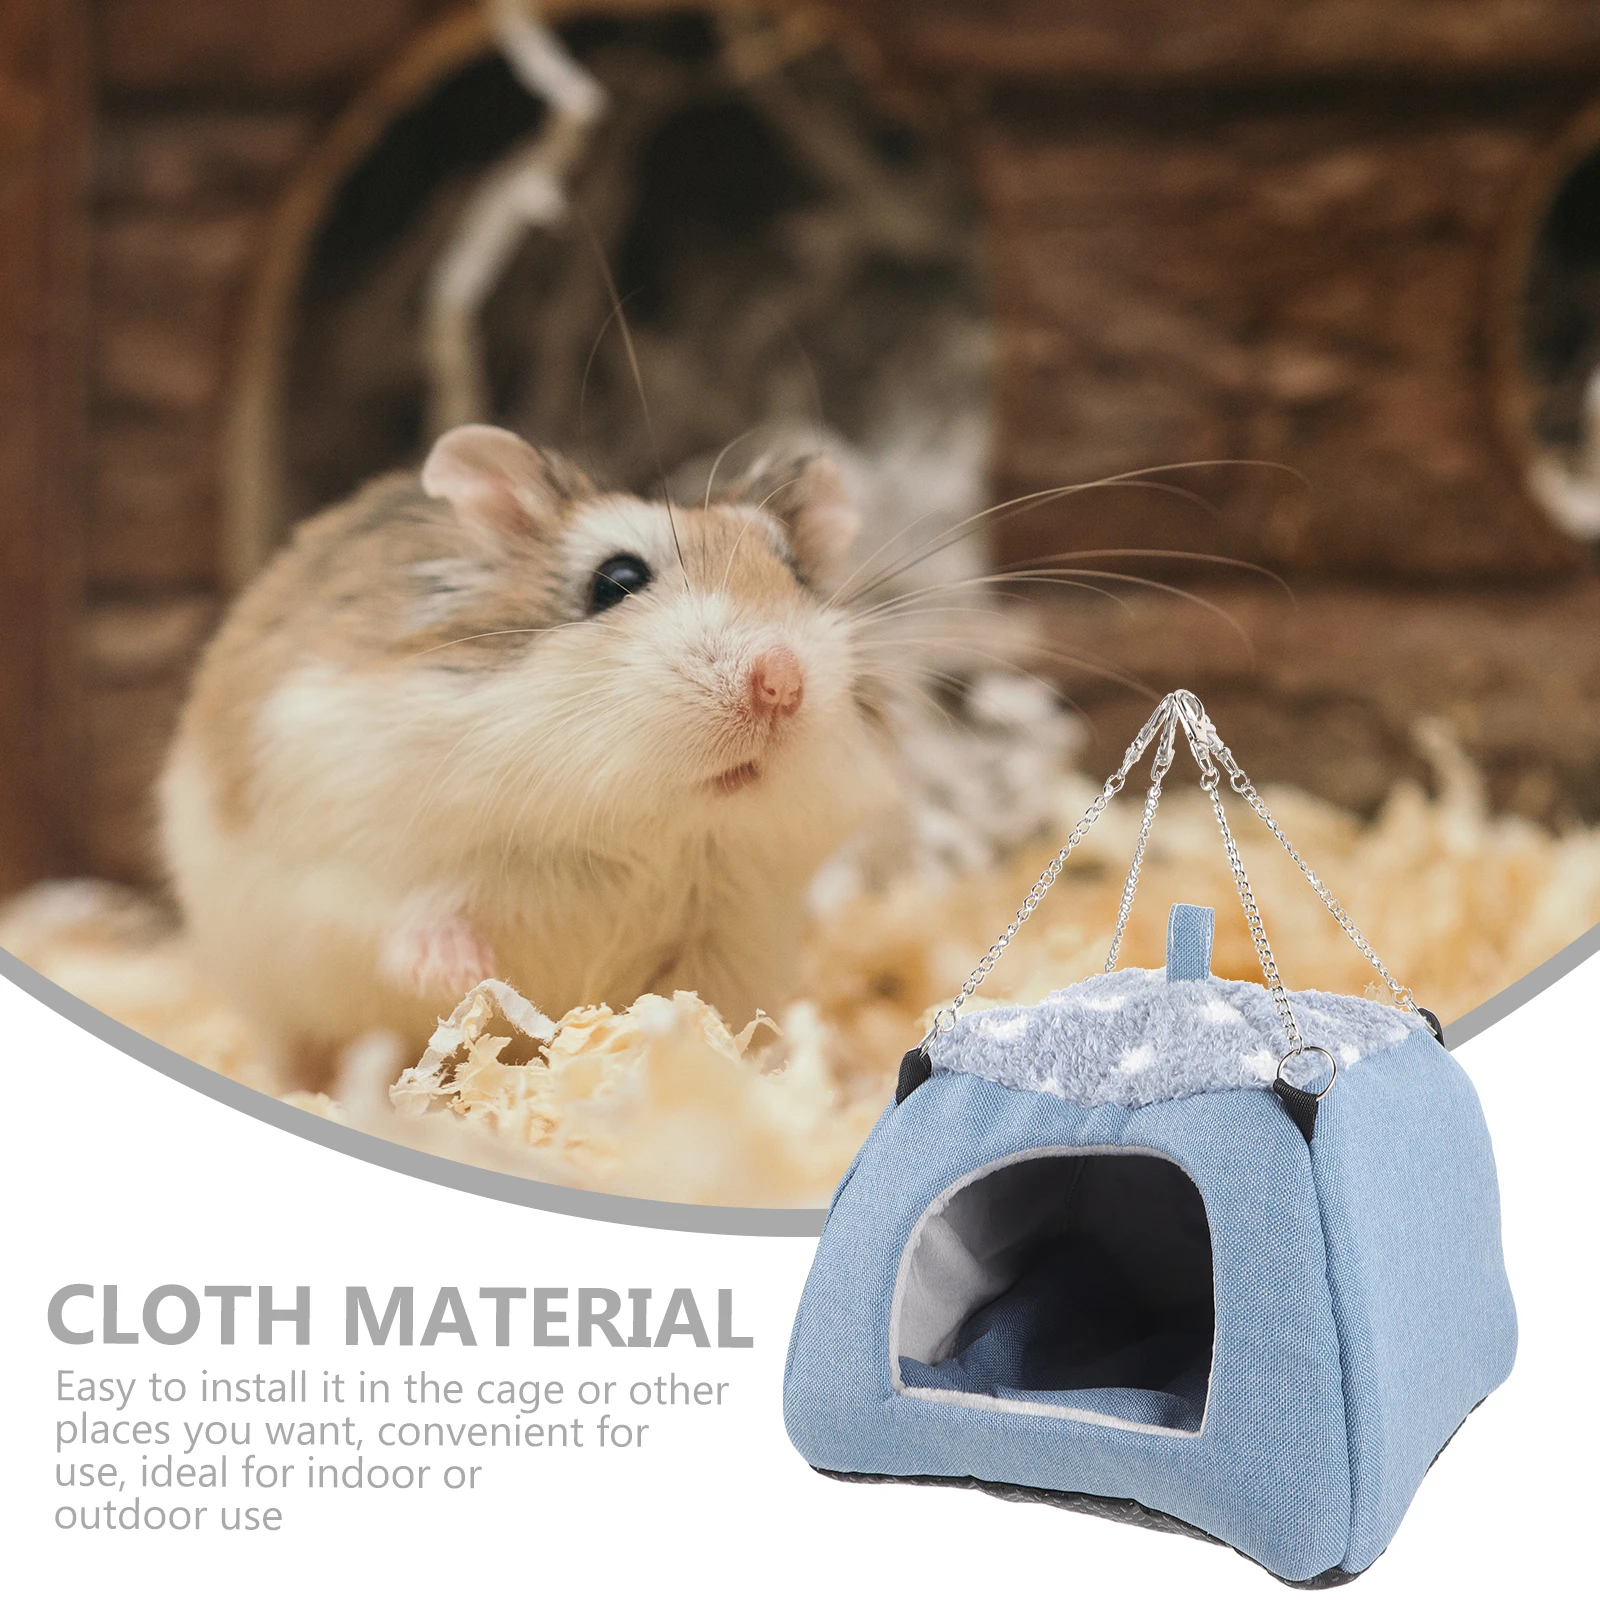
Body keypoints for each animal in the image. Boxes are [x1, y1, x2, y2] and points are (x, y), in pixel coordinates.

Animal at [160, 425, 900, 1089]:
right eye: (616, 579)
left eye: (796, 574)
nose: (781, 683)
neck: (640, 828)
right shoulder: (349, 859)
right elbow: (404, 920)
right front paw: (466, 975)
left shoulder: (730, 934)